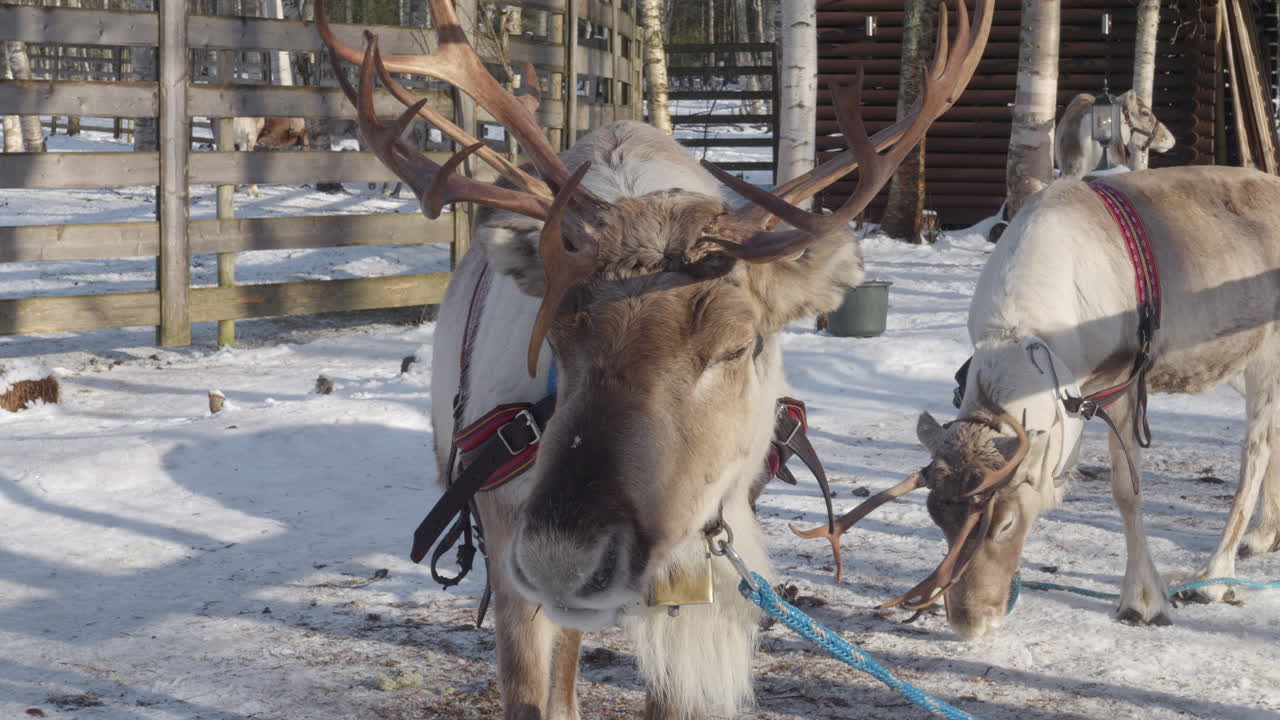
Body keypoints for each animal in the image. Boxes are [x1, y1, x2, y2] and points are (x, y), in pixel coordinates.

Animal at [794, 164, 1280, 640]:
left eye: (1005, 523)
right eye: (937, 519)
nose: (969, 622)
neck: (1018, 333)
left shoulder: (1122, 382)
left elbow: (1127, 492)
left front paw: (1142, 600)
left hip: (1264, 355)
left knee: (1255, 451)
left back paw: (1214, 576)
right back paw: (1263, 534)